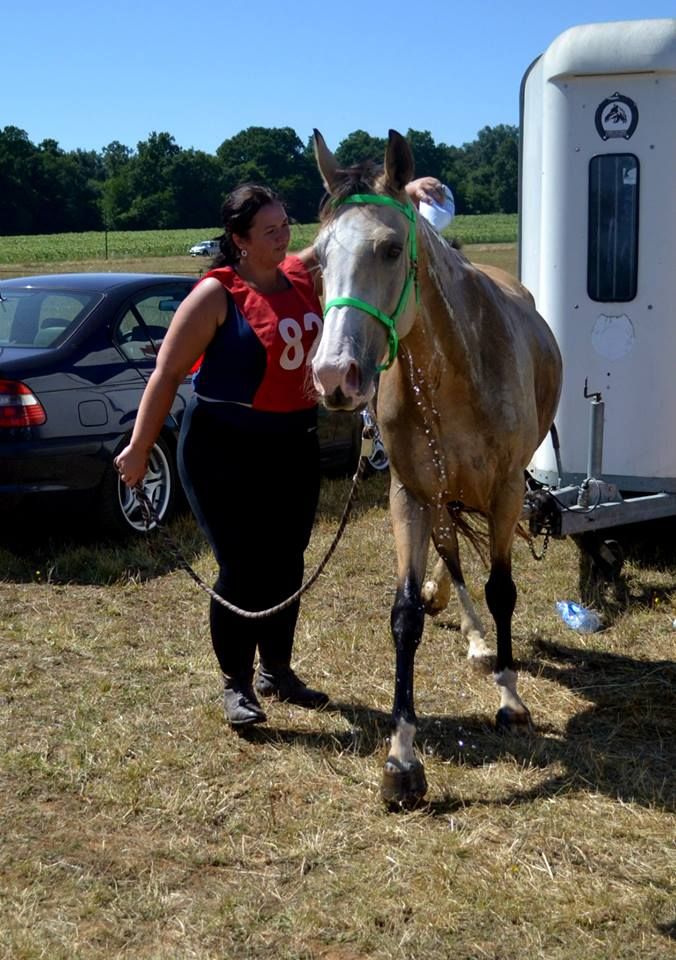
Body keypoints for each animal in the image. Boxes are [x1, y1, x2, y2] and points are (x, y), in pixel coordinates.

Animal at [311, 129, 563, 805]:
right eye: (316, 258)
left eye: (391, 248)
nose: (334, 375)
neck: (454, 368)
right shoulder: (411, 494)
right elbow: (404, 616)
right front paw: (401, 758)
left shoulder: (505, 492)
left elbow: (502, 590)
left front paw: (511, 702)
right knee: (449, 554)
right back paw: (468, 632)